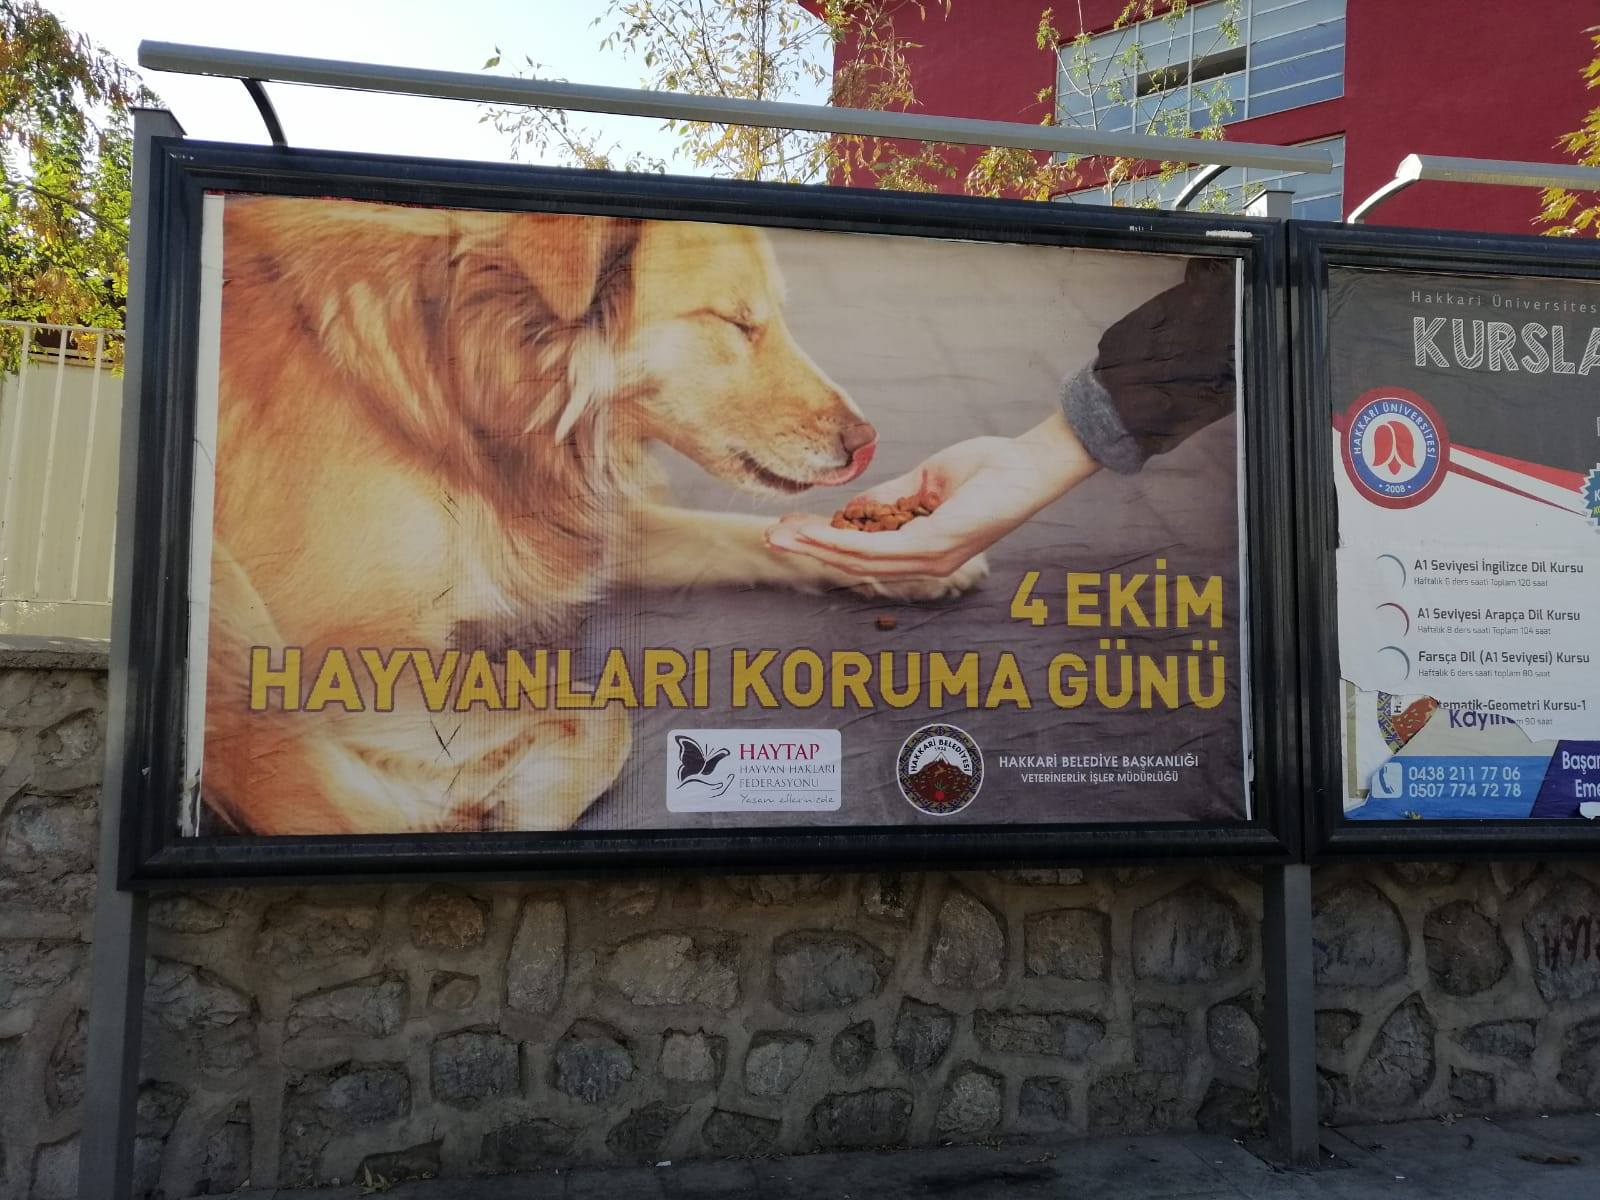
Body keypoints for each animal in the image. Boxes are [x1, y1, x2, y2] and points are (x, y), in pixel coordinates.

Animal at [195, 197, 979, 838]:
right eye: (736, 321)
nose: (866, 442)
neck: (466, 377)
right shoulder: (335, 652)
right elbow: (606, 714)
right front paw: (506, 807)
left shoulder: (566, 532)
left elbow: (746, 537)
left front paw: (912, 564)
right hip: (226, 600)